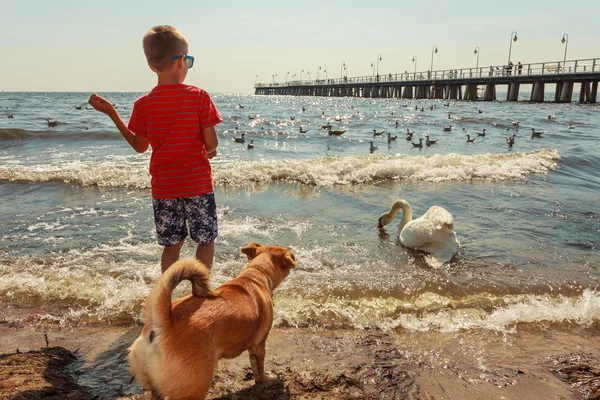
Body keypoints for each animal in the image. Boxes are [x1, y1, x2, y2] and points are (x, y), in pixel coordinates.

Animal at [128, 242, 296, 398]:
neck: (256, 274)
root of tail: (164, 323)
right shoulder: (259, 346)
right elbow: (259, 369)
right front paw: (266, 380)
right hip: (194, 388)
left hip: (155, 388)